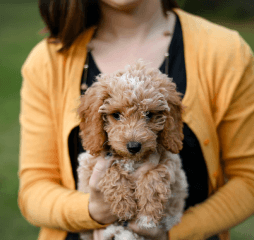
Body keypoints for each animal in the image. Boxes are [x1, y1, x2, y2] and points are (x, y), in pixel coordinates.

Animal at [78, 61, 188, 240]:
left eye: (149, 114)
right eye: (116, 115)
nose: (134, 146)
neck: (132, 160)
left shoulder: (169, 161)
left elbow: (154, 176)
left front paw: (147, 215)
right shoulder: (92, 165)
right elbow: (112, 171)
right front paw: (124, 206)